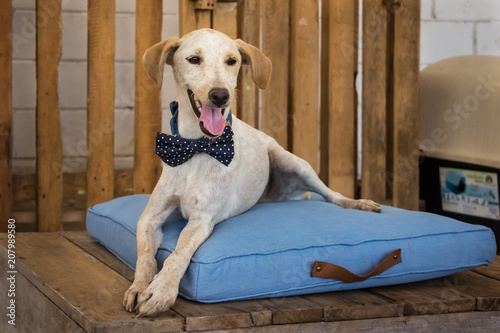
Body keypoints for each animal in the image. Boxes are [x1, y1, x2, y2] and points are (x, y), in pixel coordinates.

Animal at [124, 28, 378, 316]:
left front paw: (161, 290)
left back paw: (359, 203)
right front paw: (138, 286)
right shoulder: (150, 218)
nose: (220, 95)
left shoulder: (201, 220)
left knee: (332, 194)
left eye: (231, 61)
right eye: (193, 59)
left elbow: (178, 254)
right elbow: (145, 256)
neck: (195, 147)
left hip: (294, 162)